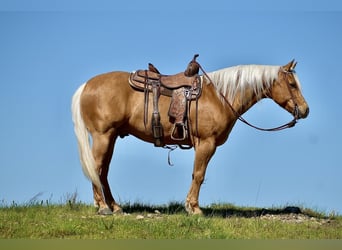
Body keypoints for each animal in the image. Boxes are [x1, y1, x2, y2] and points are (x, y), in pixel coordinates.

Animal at [71, 59, 308, 214]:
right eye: (292, 84)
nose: (305, 110)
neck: (220, 96)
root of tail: (87, 85)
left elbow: (197, 174)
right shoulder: (206, 143)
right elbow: (199, 174)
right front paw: (193, 208)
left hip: (110, 138)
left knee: (103, 171)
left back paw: (115, 207)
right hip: (103, 136)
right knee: (97, 168)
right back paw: (103, 207)